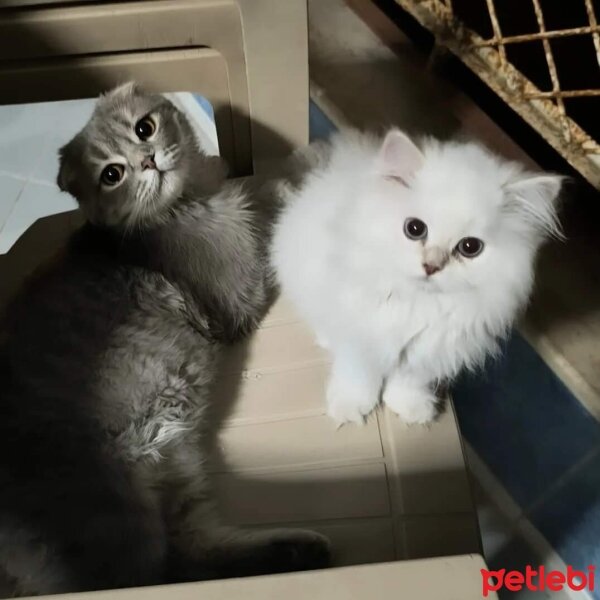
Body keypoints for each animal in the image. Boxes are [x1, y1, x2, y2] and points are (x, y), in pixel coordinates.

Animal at [0, 84, 330, 596]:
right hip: (115, 517)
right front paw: (310, 163)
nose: (148, 159)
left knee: (192, 554)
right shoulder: (236, 293)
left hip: (175, 465)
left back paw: (298, 551)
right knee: (160, 577)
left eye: (145, 128)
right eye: (111, 174)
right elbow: (269, 203)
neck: (193, 198)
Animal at [272, 127, 564, 426]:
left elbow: (409, 381)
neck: (420, 303)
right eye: (414, 229)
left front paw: (410, 408)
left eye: (470, 247)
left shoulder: (429, 351)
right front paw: (350, 406)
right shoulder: (361, 336)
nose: (431, 266)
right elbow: (358, 374)